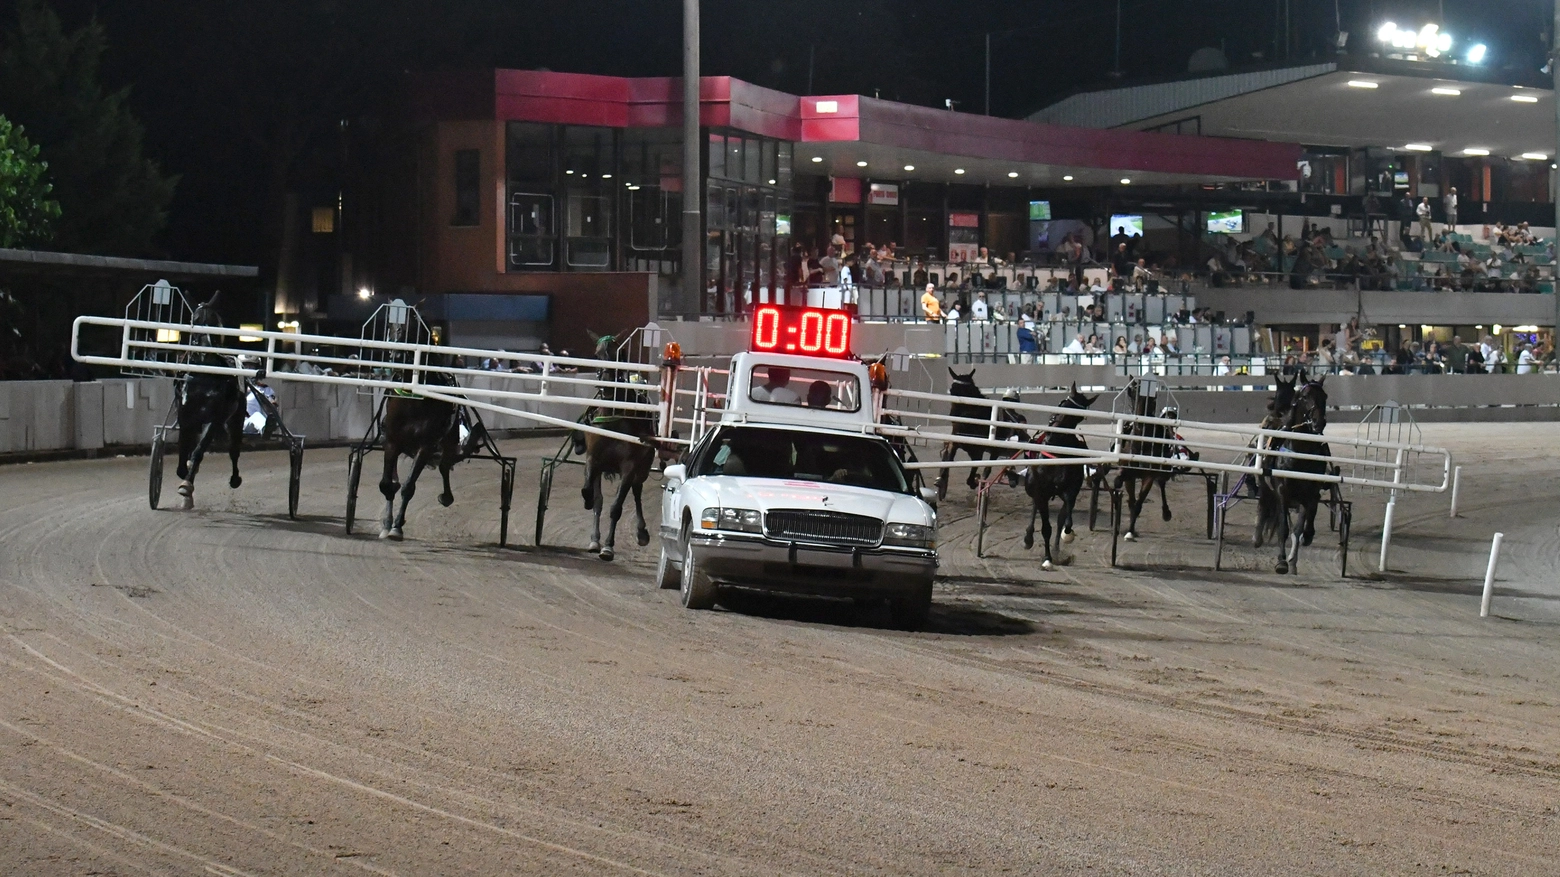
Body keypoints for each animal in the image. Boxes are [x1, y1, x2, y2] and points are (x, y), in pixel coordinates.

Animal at [174, 294, 246, 505]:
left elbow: (198, 452)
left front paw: (186, 487)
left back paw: (235, 478)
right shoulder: (185, 416)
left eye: (216, 322)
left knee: (234, 449)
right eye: (195, 320)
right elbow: (183, 450)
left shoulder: (214, 419)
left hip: (236, 418)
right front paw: (185, 472)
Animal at [574, 327, 658, 558]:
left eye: (620, 354)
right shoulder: (593, 459)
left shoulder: (629, 467)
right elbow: (593, 496)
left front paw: (608, 546)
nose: (607, 380)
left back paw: (641, 532)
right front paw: (595, 539)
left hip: (643, 467)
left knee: (637, 492)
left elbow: (616, 507)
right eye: (596, 355)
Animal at [929, 363, 1029, 499]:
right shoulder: (956, 441)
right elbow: (949, 456)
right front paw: (941, 480)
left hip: (996, 450)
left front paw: (976, 481)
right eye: (952, 390)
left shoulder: (978, 450)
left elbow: (972, 475)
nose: (954, 415)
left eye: (969, 390)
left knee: (988, 468)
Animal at [1017, 382, 1104, 568]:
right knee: (1035, 508)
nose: (1053, 433)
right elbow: (1045, 528)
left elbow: (1066, 521)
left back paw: (1057, 548)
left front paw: (1065, 537)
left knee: (1060, 519)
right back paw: (1029, 538)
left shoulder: (1070, 490)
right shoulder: (1040, 492)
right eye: (1062, 404)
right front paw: (1047, 557)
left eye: (1078, 416)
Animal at [1254, 376, 1329, 574]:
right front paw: (1281, 562)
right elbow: (1283, 528)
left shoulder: (1311, 493)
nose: (1318, 422)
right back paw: (1257, 538)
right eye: (1305, 396)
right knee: (1263, 506)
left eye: (1325, 396)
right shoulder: (1282, 492)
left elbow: (1304, 524)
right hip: (1265, 488)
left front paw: (1307, 537)